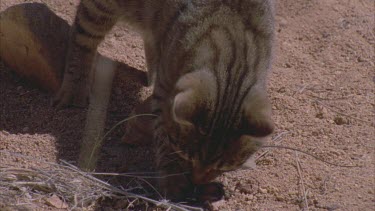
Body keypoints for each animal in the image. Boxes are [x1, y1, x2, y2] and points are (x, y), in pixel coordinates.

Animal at [53, 0, 276, 202]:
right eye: (187, 156)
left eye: (222, 168)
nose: (196, 180)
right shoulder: (164, 91)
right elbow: (163, 137)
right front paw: (173, 178)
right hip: (101, 9)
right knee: (82, 37)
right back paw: (75, 87)